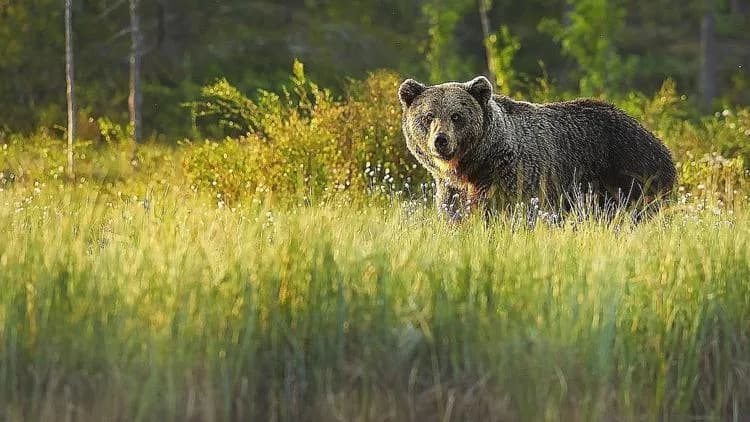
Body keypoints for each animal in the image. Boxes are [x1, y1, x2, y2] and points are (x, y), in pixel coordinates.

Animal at [398, 76, 677, 221]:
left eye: (456, 116)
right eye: (428, 116)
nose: (441, 140)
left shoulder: (515, 176)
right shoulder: (452, 188)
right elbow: (454, 213)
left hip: (628, 172)